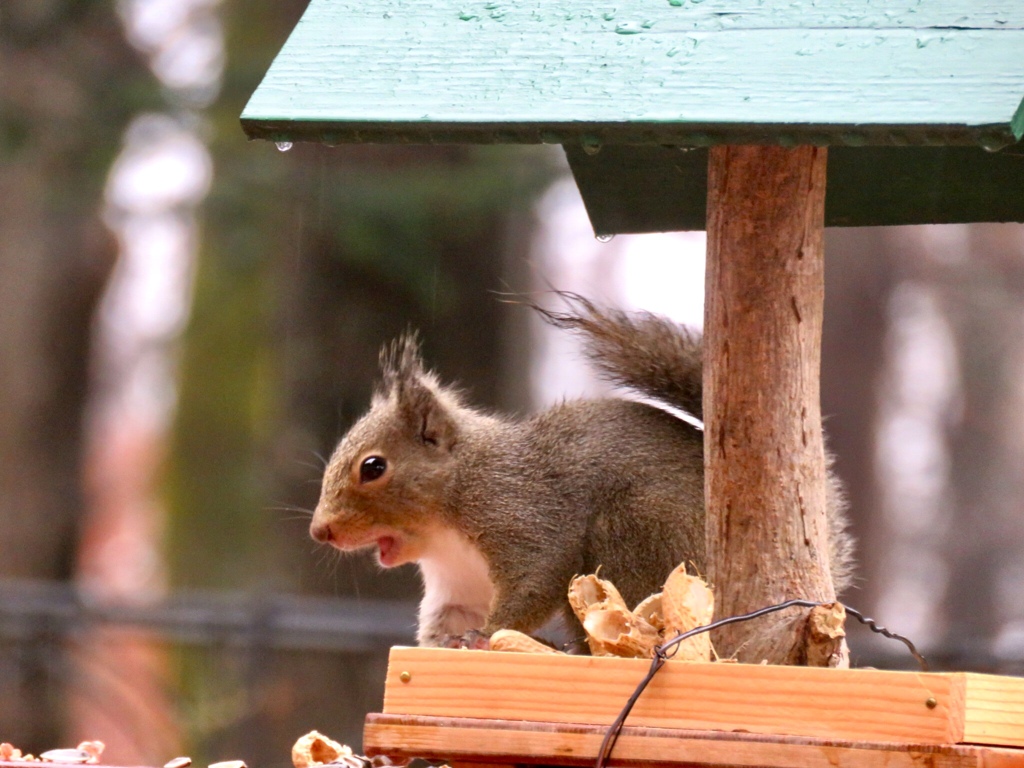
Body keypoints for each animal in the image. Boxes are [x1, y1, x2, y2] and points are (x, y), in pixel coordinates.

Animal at [307, 296, 851, 651]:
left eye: (373, 467)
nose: (320, 531)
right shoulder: (456, 583)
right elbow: (448, 619)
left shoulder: (523, 514)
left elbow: (538, 577)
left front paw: (484, 637)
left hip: (637, 532)